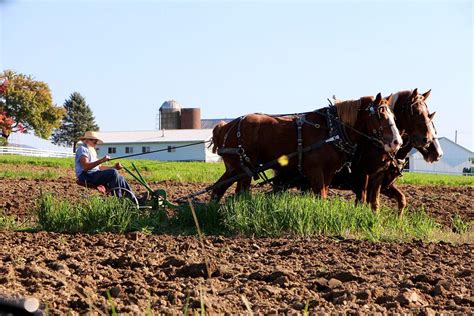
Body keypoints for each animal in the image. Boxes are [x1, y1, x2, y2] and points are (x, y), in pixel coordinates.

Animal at [210, 92, 400, 201]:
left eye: (393, 115)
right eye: (380, 115)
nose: (397, 142)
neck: (331, 128)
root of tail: (224, 127)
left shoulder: (328, 172)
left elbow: (323, 194)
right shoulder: (315, 170)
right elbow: (320, 196)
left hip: (235, 169)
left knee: (220, 189)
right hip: (243, 169)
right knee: (236, 192)